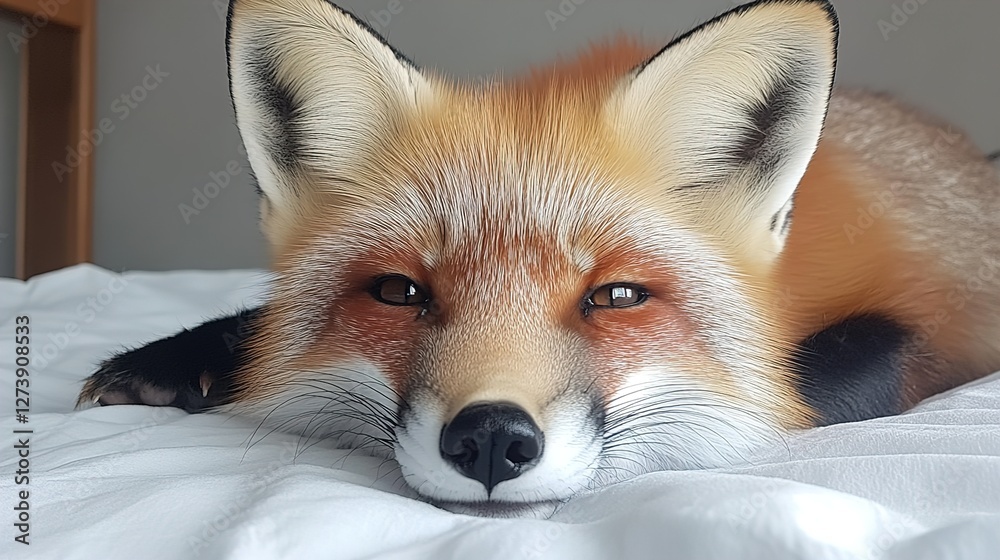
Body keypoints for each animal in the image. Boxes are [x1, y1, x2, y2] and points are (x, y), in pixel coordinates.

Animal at [78, 0, 1000, 516]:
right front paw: (187, 357)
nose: (490, 439)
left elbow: (793, 386)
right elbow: (266, 328)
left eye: (617, 296)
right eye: (398, 292)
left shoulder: (926, 321)